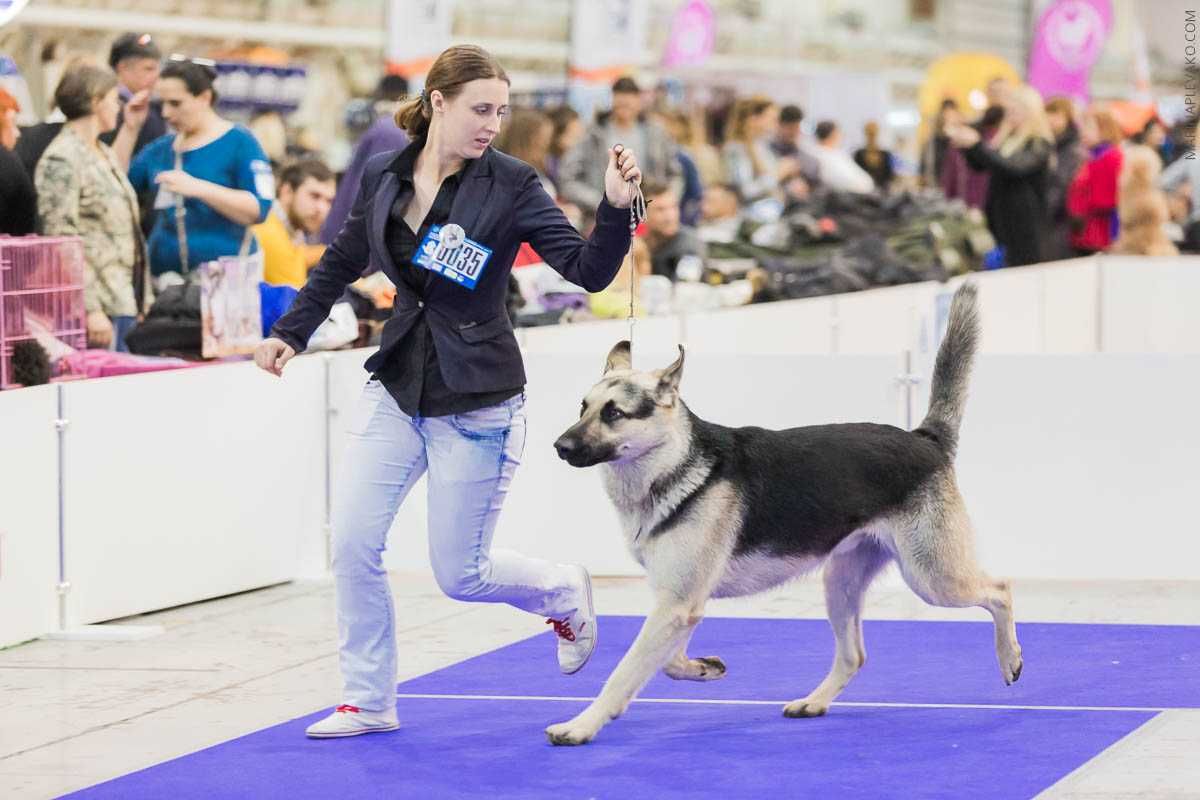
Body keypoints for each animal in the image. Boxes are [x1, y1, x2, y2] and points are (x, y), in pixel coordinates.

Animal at [547, 283, 1022, 743]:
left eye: (614, 413)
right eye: (583, 408)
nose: (559, 447)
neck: (672, 461)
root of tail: (924, 438)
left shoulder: (678, 603)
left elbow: (623, 672)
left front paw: (582, 725)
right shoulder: (680, 603)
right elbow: (664, 661)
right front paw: (700, 668)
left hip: (933, 578)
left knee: (1000, 590)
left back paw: (1010, 658)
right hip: (841, 583)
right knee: (854, 656)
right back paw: (813, 702)